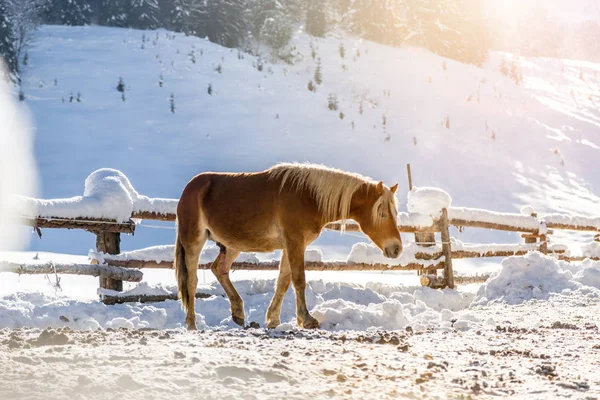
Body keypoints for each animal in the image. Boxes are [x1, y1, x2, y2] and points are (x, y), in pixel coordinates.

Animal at [175, 164, 404, 330]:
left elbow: (283, 281)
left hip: (233, 245)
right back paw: (192, 324)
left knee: (219, 269)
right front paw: (306, 319)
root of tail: (189, 188)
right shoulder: (295, 242)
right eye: (382, 213)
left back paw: (238, 312)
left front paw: (273, 320)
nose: (397, 249)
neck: (309, 196)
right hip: (194, 241)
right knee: (191, 282)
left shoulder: (291, 245)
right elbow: (299, 279)